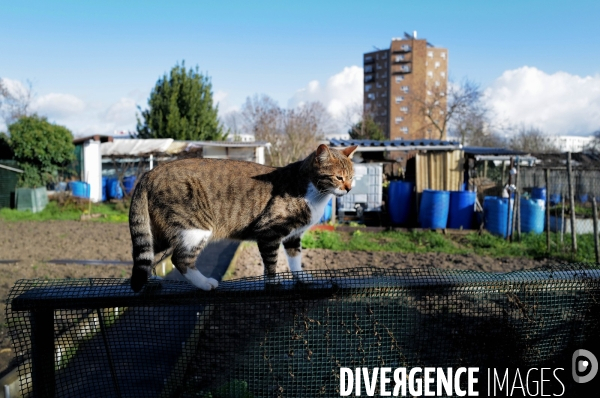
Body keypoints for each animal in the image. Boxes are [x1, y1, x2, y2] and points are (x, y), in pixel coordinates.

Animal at [129, 144, 356, 292]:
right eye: (338, 177)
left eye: (352, 177)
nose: (349, 189)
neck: (314, 193)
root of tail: (149, 173)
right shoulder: (269, 232)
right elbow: (271, 263)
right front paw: (272, 283)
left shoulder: (293, 236)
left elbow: (295, 260)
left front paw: (301, 278)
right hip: (194, 228)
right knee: (180, 259)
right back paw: (205, 283)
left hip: (162, 235)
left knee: (147, 254)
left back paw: (150, 279)